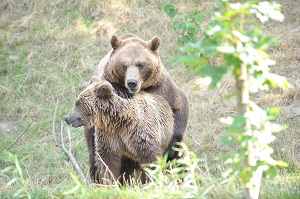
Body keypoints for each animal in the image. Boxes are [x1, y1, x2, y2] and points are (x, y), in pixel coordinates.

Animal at [83, 33, 189, 182]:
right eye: (124, 65)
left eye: (141, 64)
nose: (132, 82)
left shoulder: (162, 89)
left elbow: (179, 110)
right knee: (96, 156)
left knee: (179, 162)